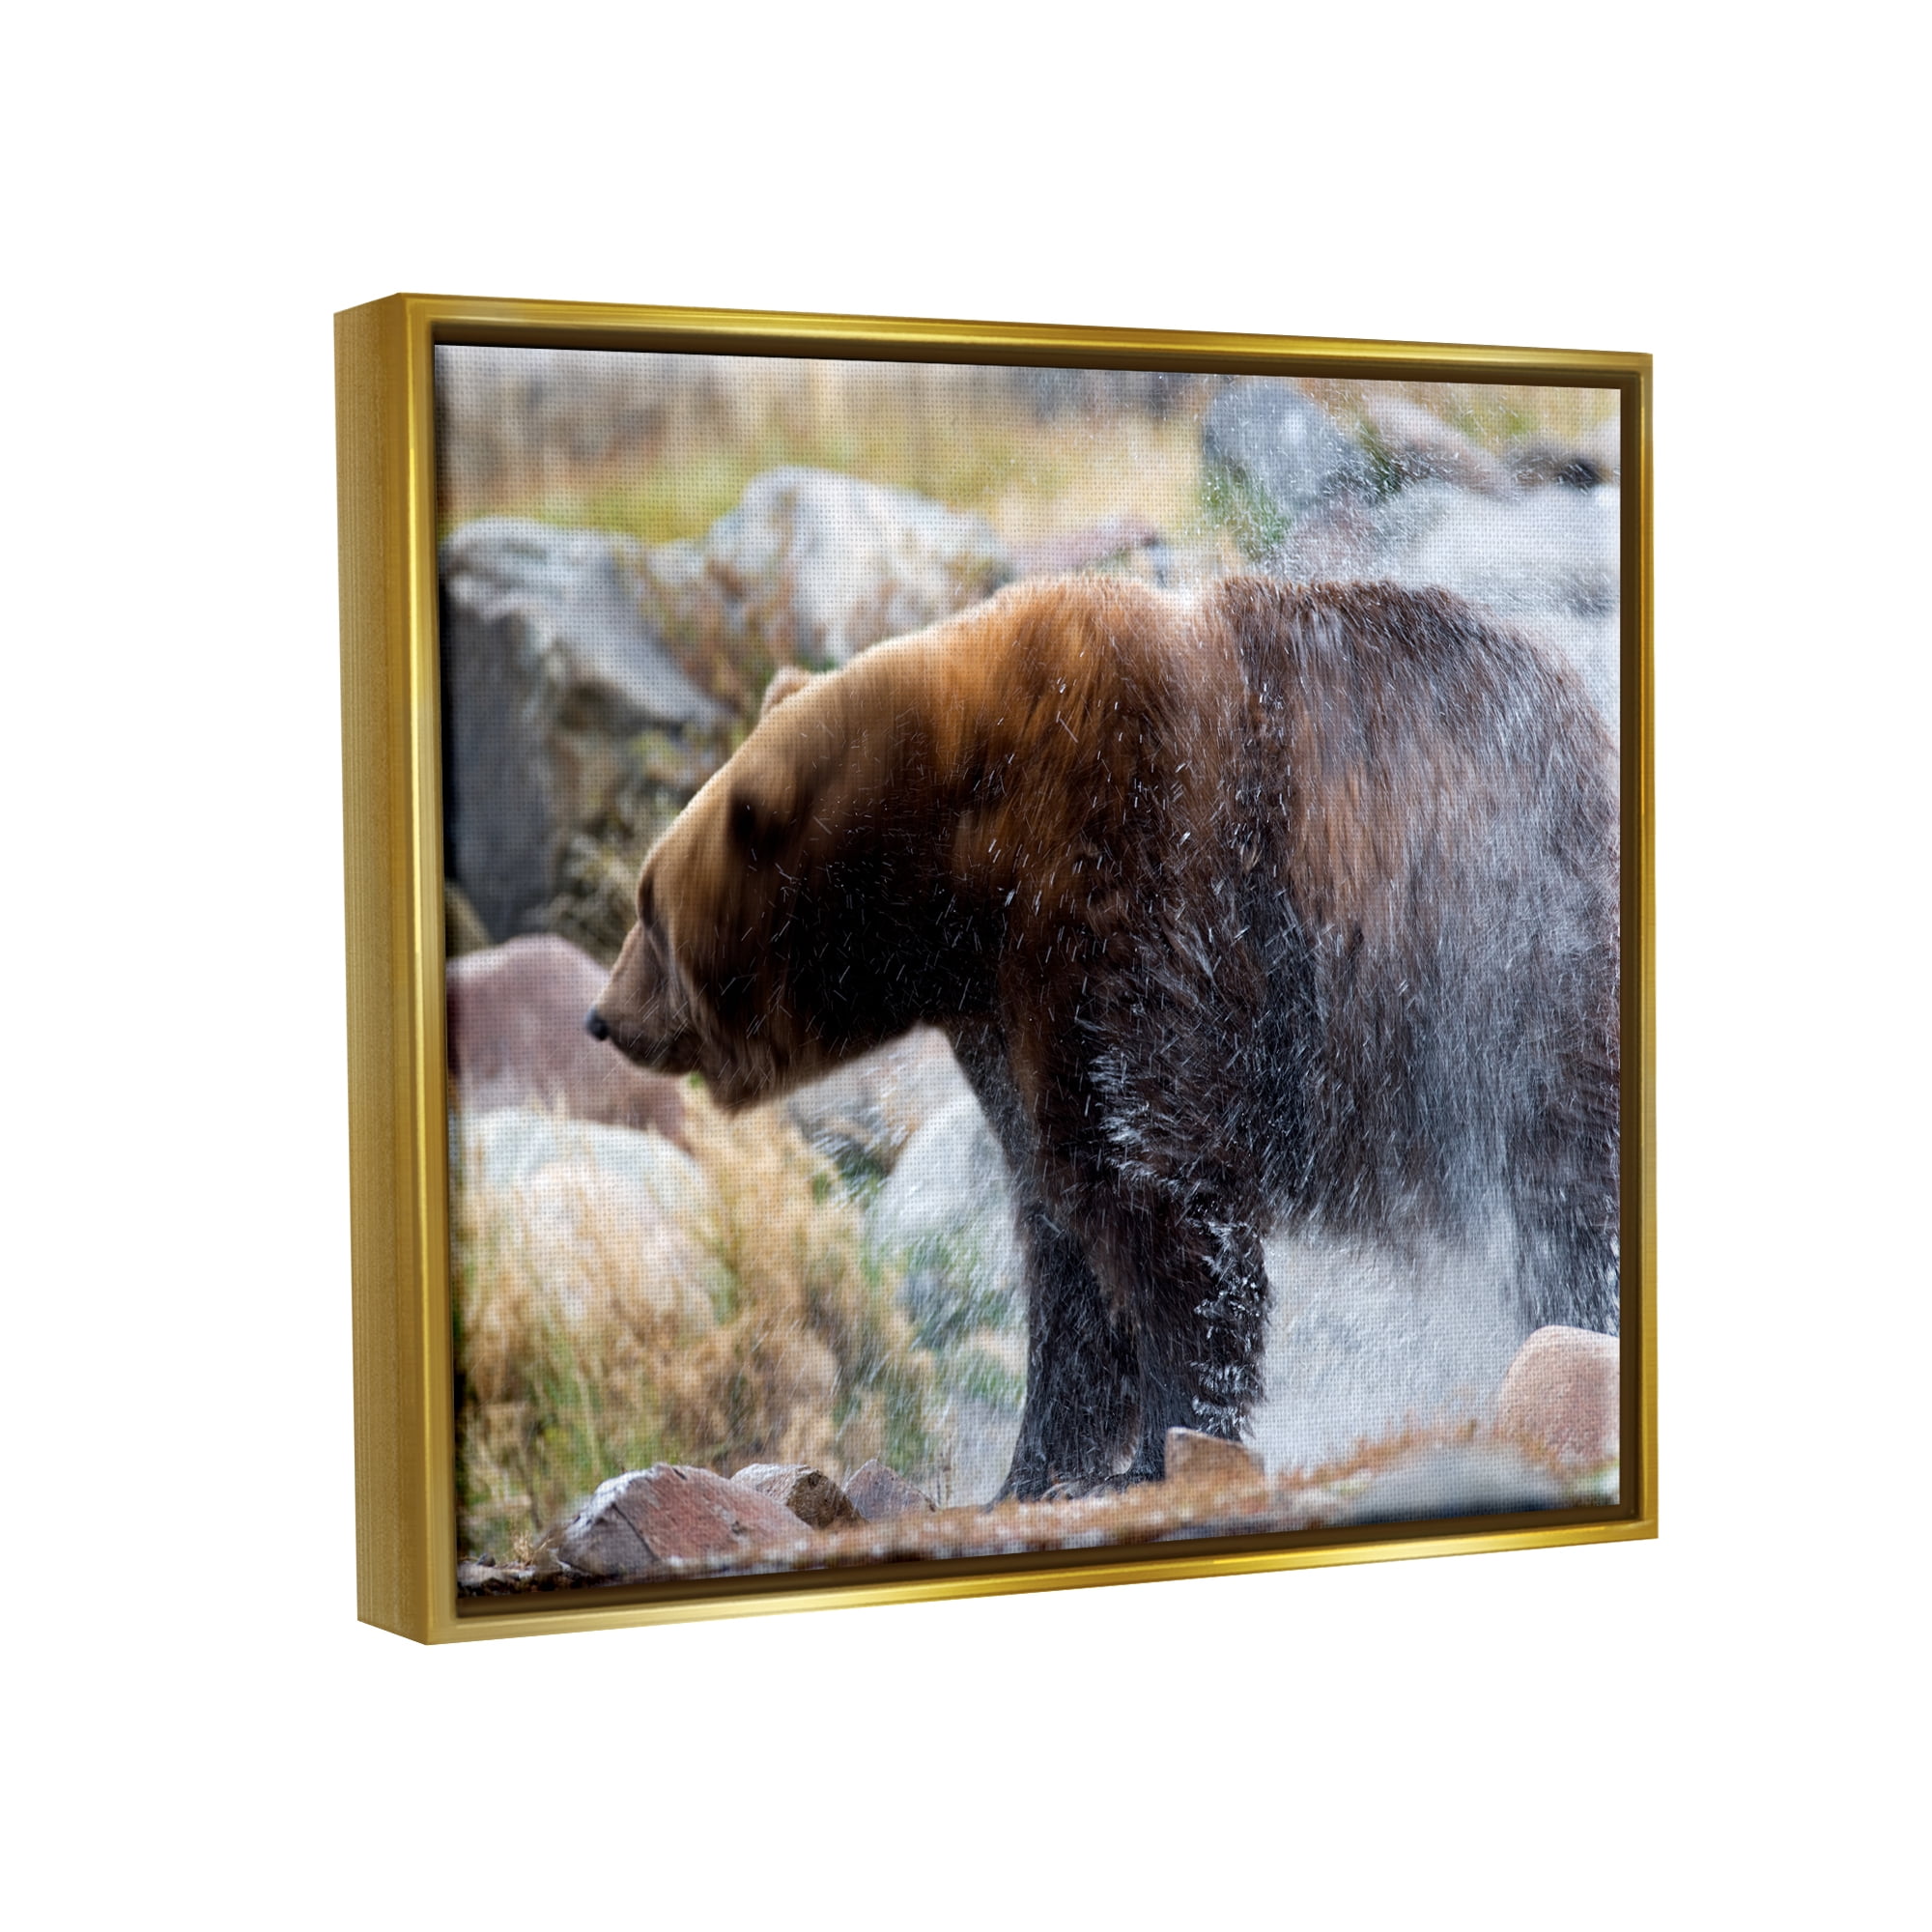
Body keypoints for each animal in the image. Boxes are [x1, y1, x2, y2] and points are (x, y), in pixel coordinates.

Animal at [586, 574, 1619, 1498]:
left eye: (647, 909)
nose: (602, 1017)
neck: (959, 860)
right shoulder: (1001, 1012)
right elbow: (1062, 1230)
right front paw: (1031, 1468)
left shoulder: (1128, 869)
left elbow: (1152, 1187)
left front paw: (1160, 1447)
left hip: (1517, 974)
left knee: (1567, 1200)